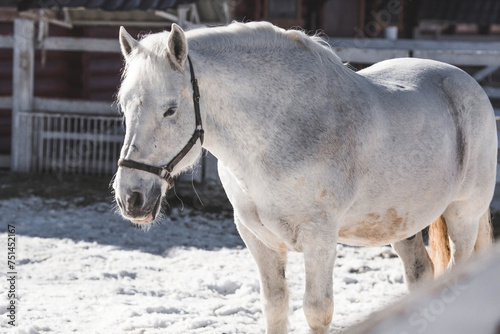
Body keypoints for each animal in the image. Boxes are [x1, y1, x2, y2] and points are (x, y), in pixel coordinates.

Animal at [110, 21, 496, 334]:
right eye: (125, 106)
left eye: (170, 110)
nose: (131, 198)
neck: (278, 132)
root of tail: (467, 83)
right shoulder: (257, 238)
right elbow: (275, 307)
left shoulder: (319, 238)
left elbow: (317, 311)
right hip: (403, 225)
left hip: (463, 215)